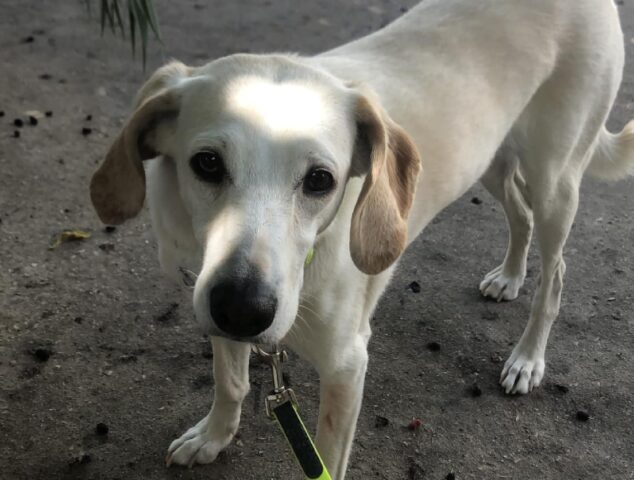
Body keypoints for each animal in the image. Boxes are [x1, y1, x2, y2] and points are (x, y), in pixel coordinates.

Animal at [87, 1, 632, 478]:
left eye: (319, 180)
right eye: (206, 164)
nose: (243, 309)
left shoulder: (347, 367)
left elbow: (327, 457)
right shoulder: (213, 301)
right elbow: (230, 380)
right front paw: (214, 436)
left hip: (556, 178)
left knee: (555, 272)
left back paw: (527, 359)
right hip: (491, 159)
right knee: (519, 214)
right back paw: (512, 276)